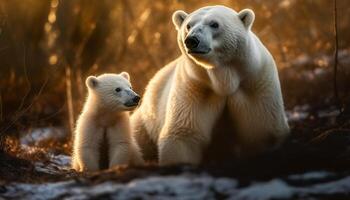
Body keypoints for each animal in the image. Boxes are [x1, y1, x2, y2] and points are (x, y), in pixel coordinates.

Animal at [131, 5, 290, 166]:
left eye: (214, 24)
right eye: (188, 25)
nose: (192, 40)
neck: (223, 80)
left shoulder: (255, 84)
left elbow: (263, 129)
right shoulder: (195, 86)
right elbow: (184, 133)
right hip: (146, 119)